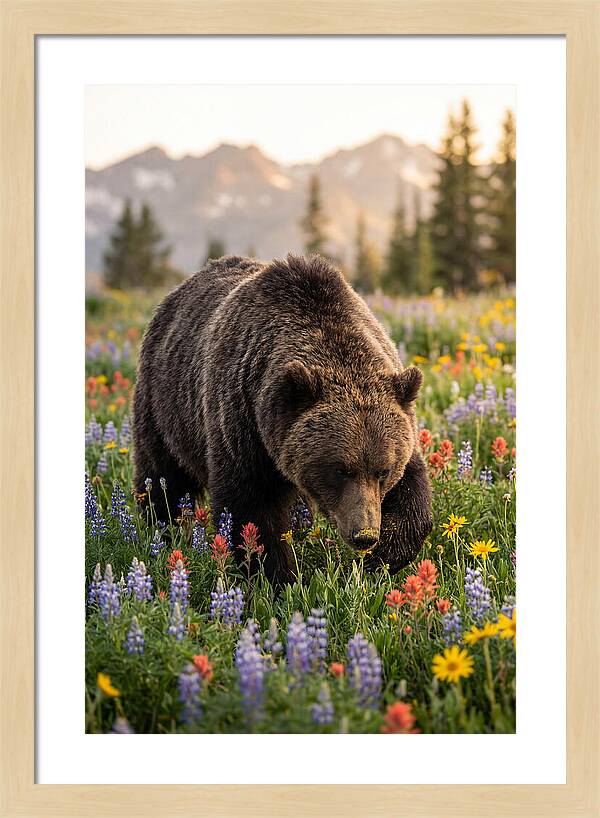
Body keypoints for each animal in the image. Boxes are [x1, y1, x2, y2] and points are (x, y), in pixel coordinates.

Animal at [133, 254, 432, 584]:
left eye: (384, 470)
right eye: (340, 470)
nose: (364, 534)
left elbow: (413, 492)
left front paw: (383, 559)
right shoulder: (243, 422)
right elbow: (252, 509)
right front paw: (276, 578)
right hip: (165, 406)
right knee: (162, 475)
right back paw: (160, 529)